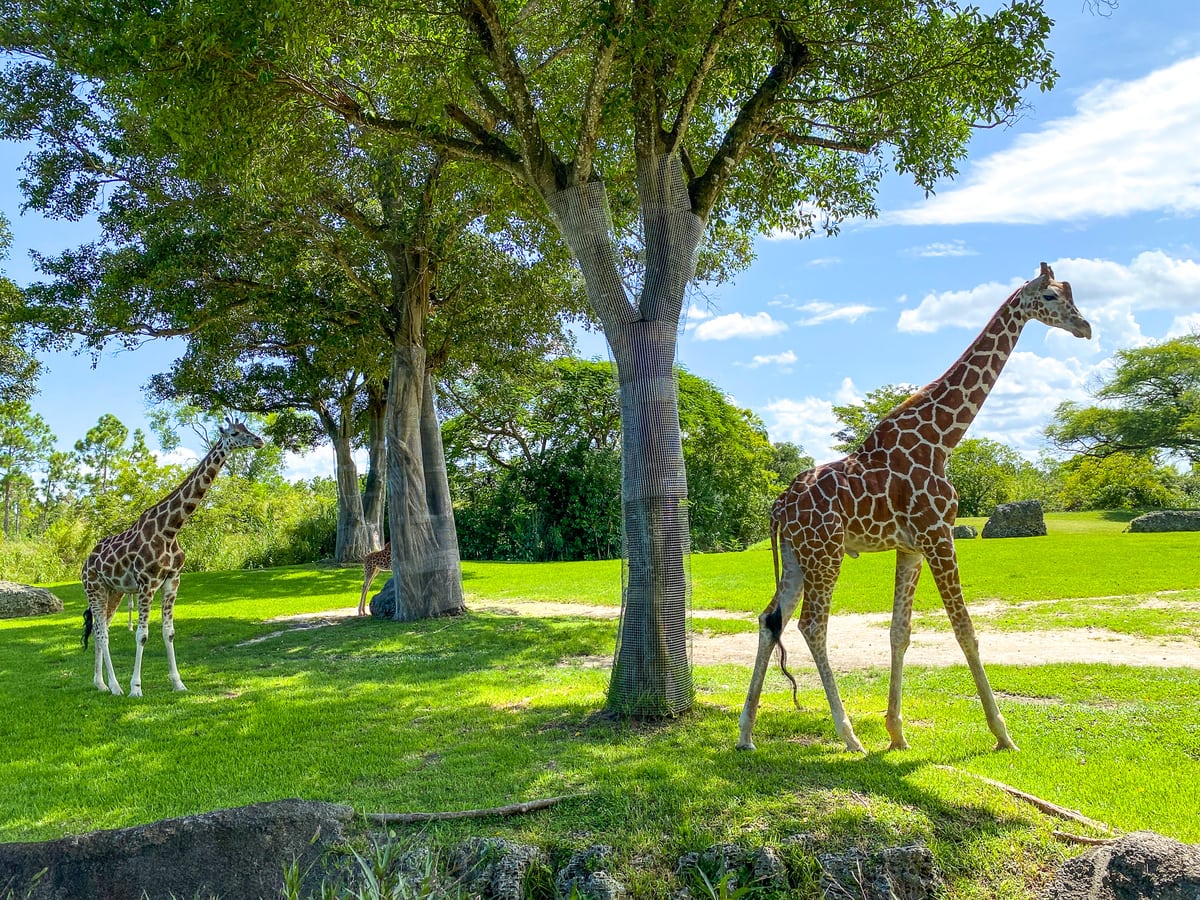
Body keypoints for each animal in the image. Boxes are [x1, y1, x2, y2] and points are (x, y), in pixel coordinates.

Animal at [82, 420, 265, 700]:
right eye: (235, 433)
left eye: (247, 428)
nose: (258, 440)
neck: (170, 529)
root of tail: (85, 564)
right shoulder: (147, 583)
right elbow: (142, 635)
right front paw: (136, 688)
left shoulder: (172, 580)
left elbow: (168, 633)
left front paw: (178, 683)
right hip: (94, 588)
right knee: (102, 634)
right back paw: (115, 686)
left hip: (114, 591)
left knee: (101, 630)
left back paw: (100, 684)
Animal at [734, 266, 1094, 753]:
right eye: (1052, 296)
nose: (1085, 327)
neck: (943, 436)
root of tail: (778, 507)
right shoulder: (939, 534)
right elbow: (965, 630)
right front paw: (1003, 735)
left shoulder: (911, 547)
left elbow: (899, 632)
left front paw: (897, 733)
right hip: (825, 552)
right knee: (811, 625)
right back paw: (849, 736)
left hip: (796, 555)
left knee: (771, 618)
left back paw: (746, 734)